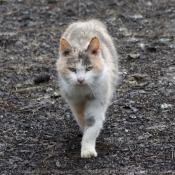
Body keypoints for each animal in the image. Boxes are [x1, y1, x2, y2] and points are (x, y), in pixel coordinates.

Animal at [56, 19, 119, 159]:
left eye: (89, 68)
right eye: (72, 69)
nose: (80, 79)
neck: (83, 90)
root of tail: (86, 21)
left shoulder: (98, 100)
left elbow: (92, 126)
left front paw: (88, 150)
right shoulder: (74, 101)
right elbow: (81, 118)